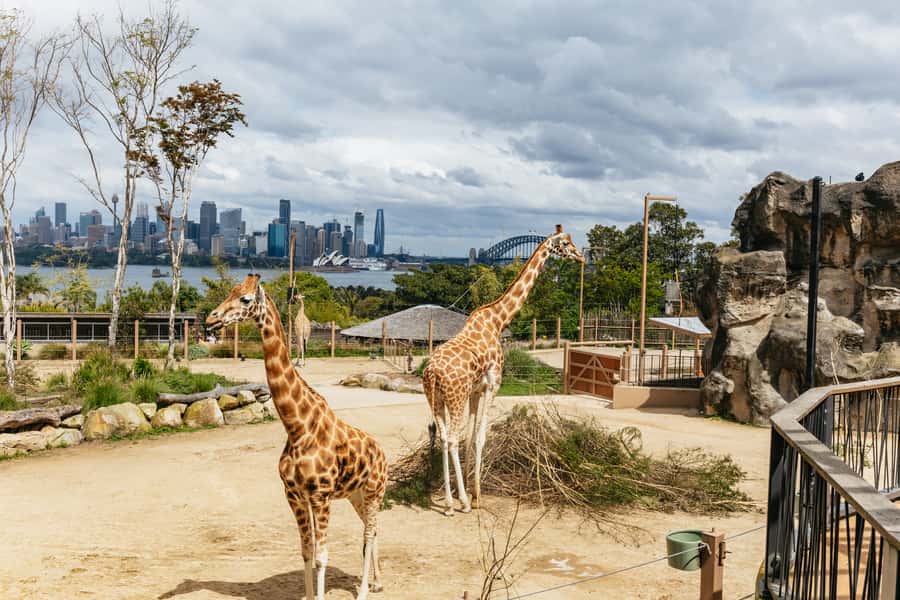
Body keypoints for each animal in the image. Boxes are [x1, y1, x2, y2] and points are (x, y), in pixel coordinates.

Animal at [206, 274, 387, 600]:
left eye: (245, 299)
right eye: (230, 291)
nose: (211, 319)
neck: (297, 427)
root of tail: (382, 452)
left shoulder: (320, 495)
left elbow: (321, 556)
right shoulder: (294, 495)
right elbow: (305, 551)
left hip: (374, 491)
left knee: (368, 532)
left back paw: (365, 590)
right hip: (356, 494)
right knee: (372, 528)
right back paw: (377, 582)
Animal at [422, 225, 584, 515]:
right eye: (566, 243)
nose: (581, 256)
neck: (498, 321)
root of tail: (431, 374)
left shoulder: (476, 390)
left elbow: (471, 437)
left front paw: (471, 491)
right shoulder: (493, 384)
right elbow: (479, 438)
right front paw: (476, 497)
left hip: (436, 400)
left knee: (443, 437)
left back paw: (450, 502)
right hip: (454, 398)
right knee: (451, 439)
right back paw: (461, 503)